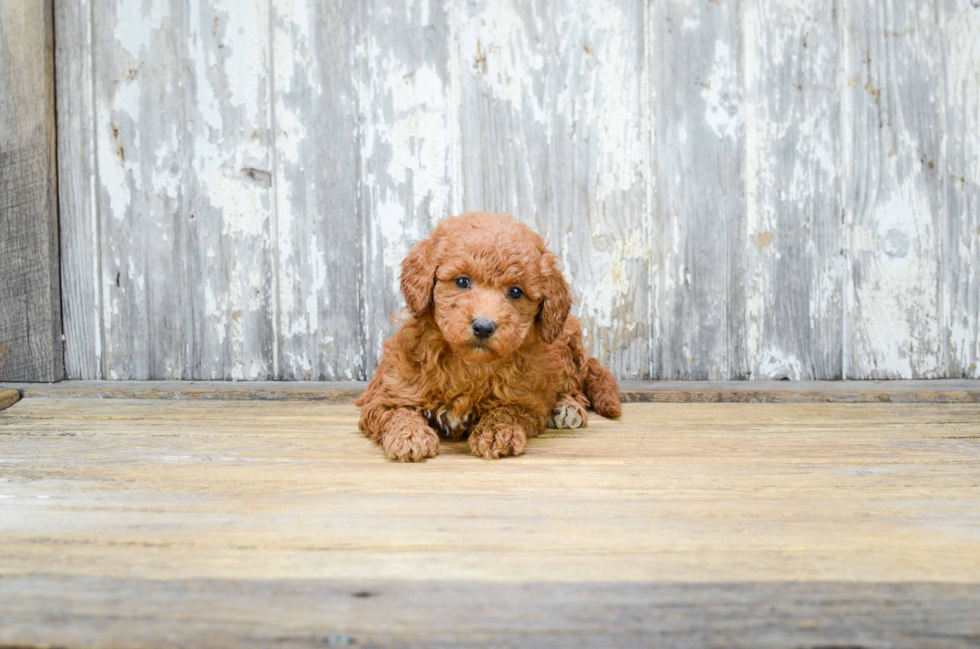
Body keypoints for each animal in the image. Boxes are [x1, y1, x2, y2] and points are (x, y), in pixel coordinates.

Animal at [358, 213, 620, 460]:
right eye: (462, 281)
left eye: (515, 292)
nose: (483, 327)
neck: (469, 365)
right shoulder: (385, 392)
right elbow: (396, 410)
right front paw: (411, 436)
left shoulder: (529, 400)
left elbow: (508, 410)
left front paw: (496, 432)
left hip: (566, 344)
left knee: (575, 388)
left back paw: (567, 407)